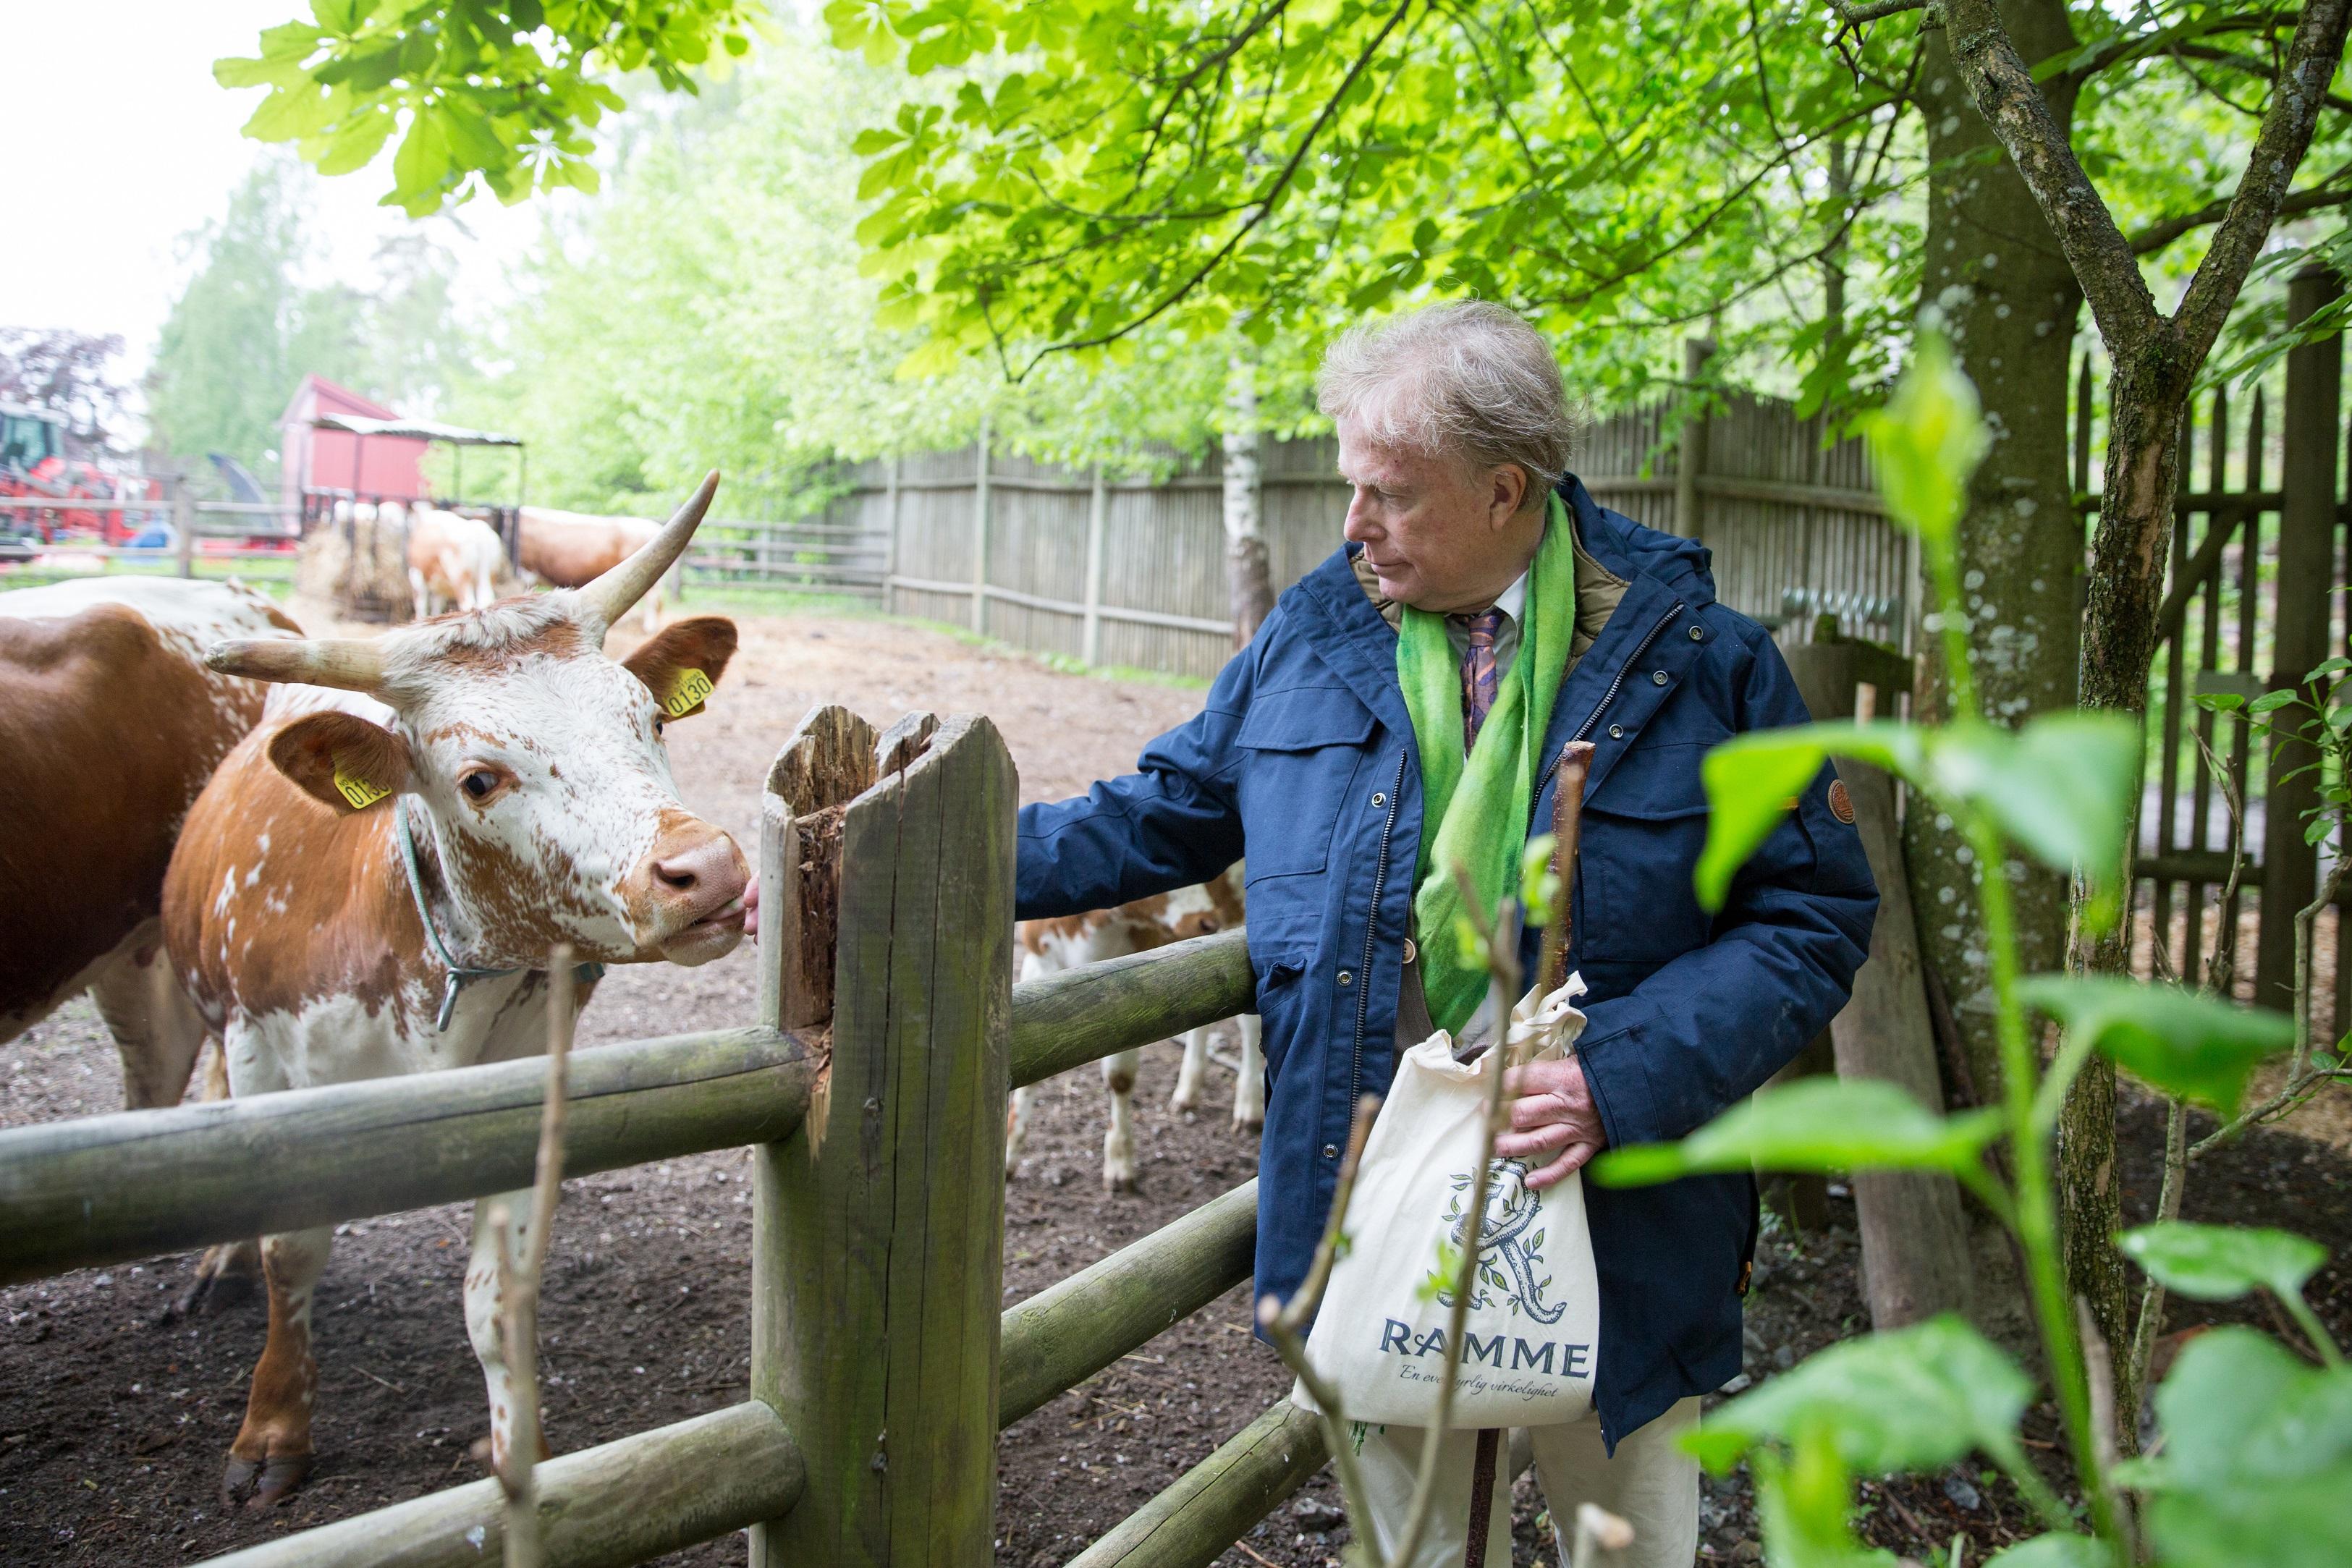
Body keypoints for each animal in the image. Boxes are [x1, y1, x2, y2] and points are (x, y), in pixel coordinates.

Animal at [1011, 860, 1270, 1189]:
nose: (1208, 921)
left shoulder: (1132, 984)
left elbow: (1120, 1077)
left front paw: (1120, 1161)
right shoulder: (1038, 961)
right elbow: (1028, 1068)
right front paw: (1009, 1156)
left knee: (1249, 1024)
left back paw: (1249, 1107)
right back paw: (1187, 1092)